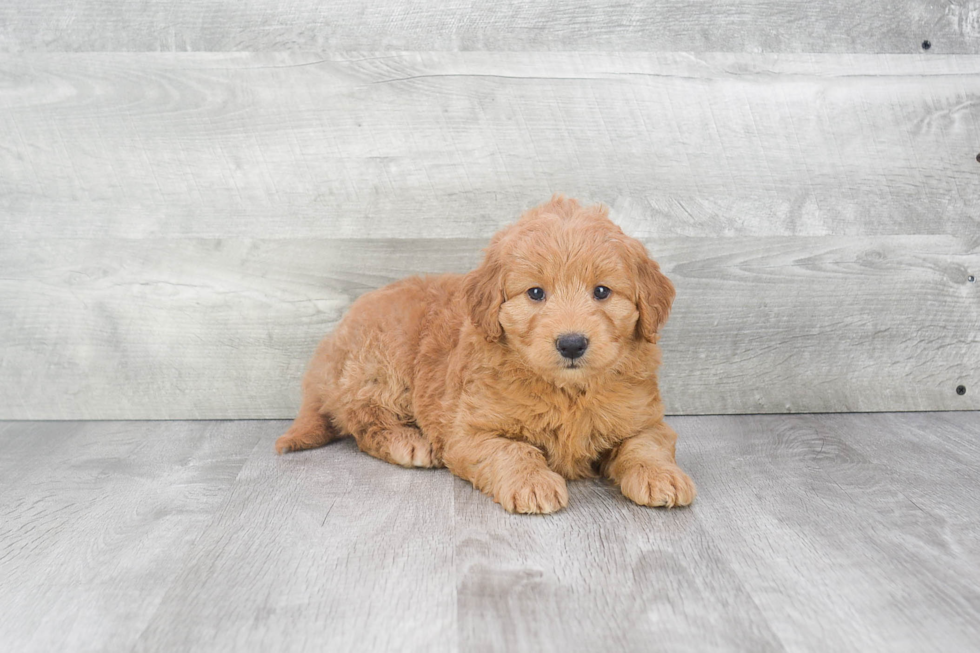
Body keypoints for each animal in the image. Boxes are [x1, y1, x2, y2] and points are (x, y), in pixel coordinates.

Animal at [276, 196, 696, 512]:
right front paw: (532, 483)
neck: (568, 391)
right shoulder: (469, 431)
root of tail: (331, 342)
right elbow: (511, 450)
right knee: (364, 423)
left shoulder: (645, 419)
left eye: (603, 292)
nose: (572, 343)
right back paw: (408, 442)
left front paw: (661, 476)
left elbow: (645, 445)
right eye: (536, 293)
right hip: (381, 365)